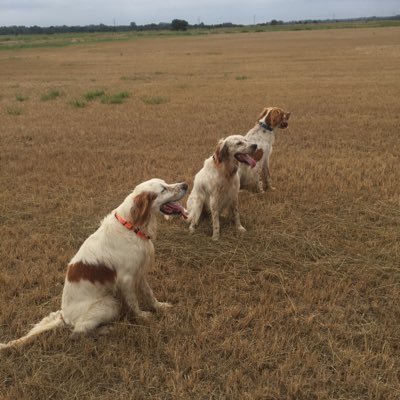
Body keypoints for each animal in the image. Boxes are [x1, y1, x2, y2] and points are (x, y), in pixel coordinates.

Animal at [0, 179, 188, 350]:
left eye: (166, 183)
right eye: (163, 189)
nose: (186, 185)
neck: (131, 225)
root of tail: (64, 317)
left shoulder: (139, 273)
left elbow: (149, 294)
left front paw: (160, 306)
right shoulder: (127, 279)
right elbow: (134, 303)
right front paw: (142, 317)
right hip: (110, 304)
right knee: (78, 332)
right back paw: (107, 329)